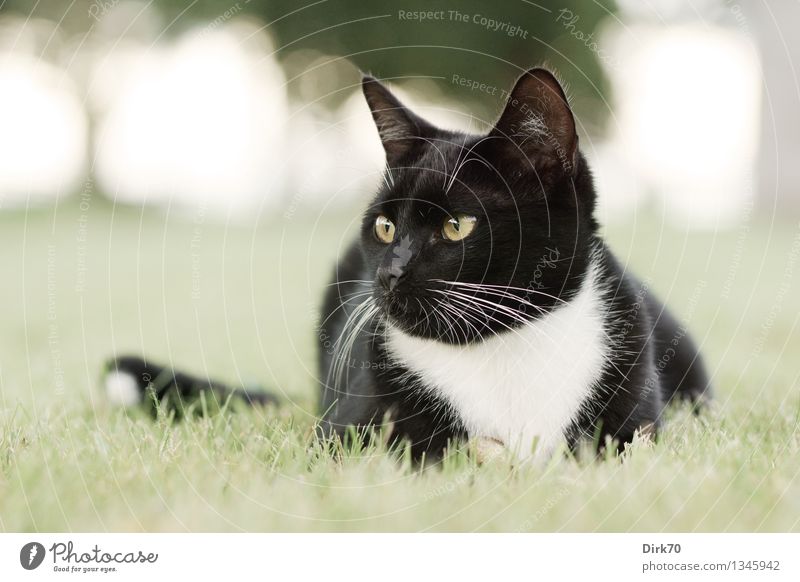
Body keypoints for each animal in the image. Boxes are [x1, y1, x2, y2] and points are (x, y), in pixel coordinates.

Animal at [103, 67, 708, 460]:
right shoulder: (345, 435)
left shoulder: (635, 428)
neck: (501, 349)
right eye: (385, 227)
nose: (389, 273)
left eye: (456, 226)